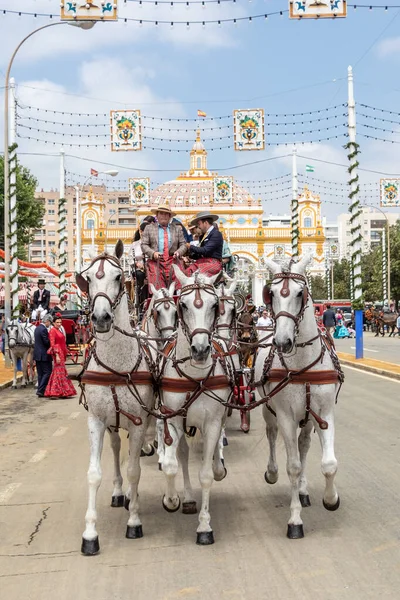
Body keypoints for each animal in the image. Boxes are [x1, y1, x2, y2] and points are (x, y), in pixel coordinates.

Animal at [75, 241, 156, 556]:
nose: (100, 318)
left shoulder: (139, 421)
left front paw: (134, 521)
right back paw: (121, 493)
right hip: (112, 422)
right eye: (88, 279)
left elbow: (134, 470)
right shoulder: (96, 420)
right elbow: (94, 473)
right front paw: (90, 534)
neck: (116, 366)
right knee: (115, 446)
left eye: (118, 276)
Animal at [158, 270, 230, 548]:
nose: (200, 350)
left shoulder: (212, 423)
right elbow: (171, 464)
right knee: (183, 455)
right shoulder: (172, 419)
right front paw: (172, 499)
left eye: (215, 305)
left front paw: (204, 527)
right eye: (184, 305)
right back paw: (187, 498)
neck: (194, 376)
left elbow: (207, 474)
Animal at [253, 255, 344, 540]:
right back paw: (272, 472)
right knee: (272, 436)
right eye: (270, 294)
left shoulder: (325, 414)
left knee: (304, 445)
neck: (303, 364)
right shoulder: (286, 416)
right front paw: (294, 520)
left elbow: (329, 463)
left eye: (300, 293)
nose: (283, 341)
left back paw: (303, 491)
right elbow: (292, 466)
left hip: (308, 418)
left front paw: (330, 499)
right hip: (269, 410)